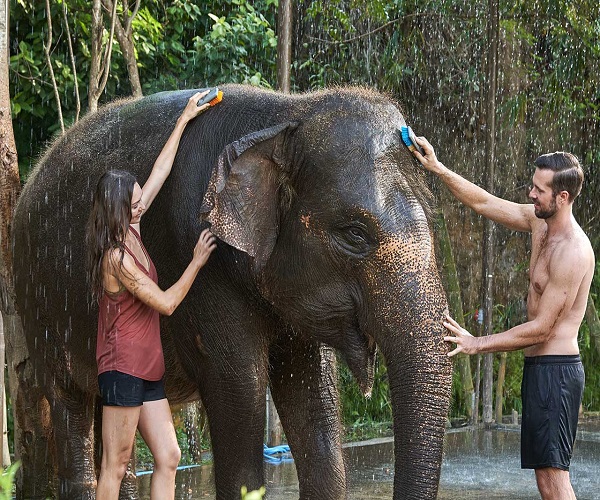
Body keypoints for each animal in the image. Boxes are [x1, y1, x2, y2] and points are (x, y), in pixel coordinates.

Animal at [10, 84, 450, 498]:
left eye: (432, 218)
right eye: (354, 234)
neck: (287, 115)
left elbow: (315, 407)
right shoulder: (206, 277)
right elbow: (241, 393)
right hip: (39, 302)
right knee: (69, 407)